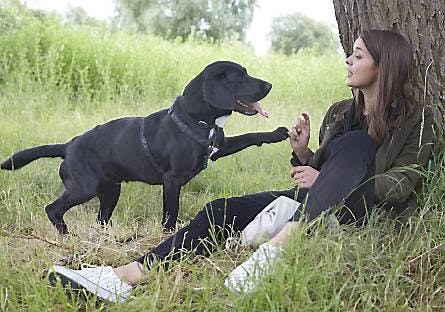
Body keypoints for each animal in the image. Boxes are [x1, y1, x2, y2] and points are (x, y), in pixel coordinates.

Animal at [2, 61, 288, 233]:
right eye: (241, 77)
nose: (270, 85)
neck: (197, 120)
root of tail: (68, 146)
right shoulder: (172, 181)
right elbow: (170, 215)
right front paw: (169, 236)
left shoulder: (220, 146)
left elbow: (250, 135)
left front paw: (277, 134)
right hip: (83, 189)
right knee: (53, 209)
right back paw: (66, 235)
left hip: (110, 192)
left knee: (100, 219)